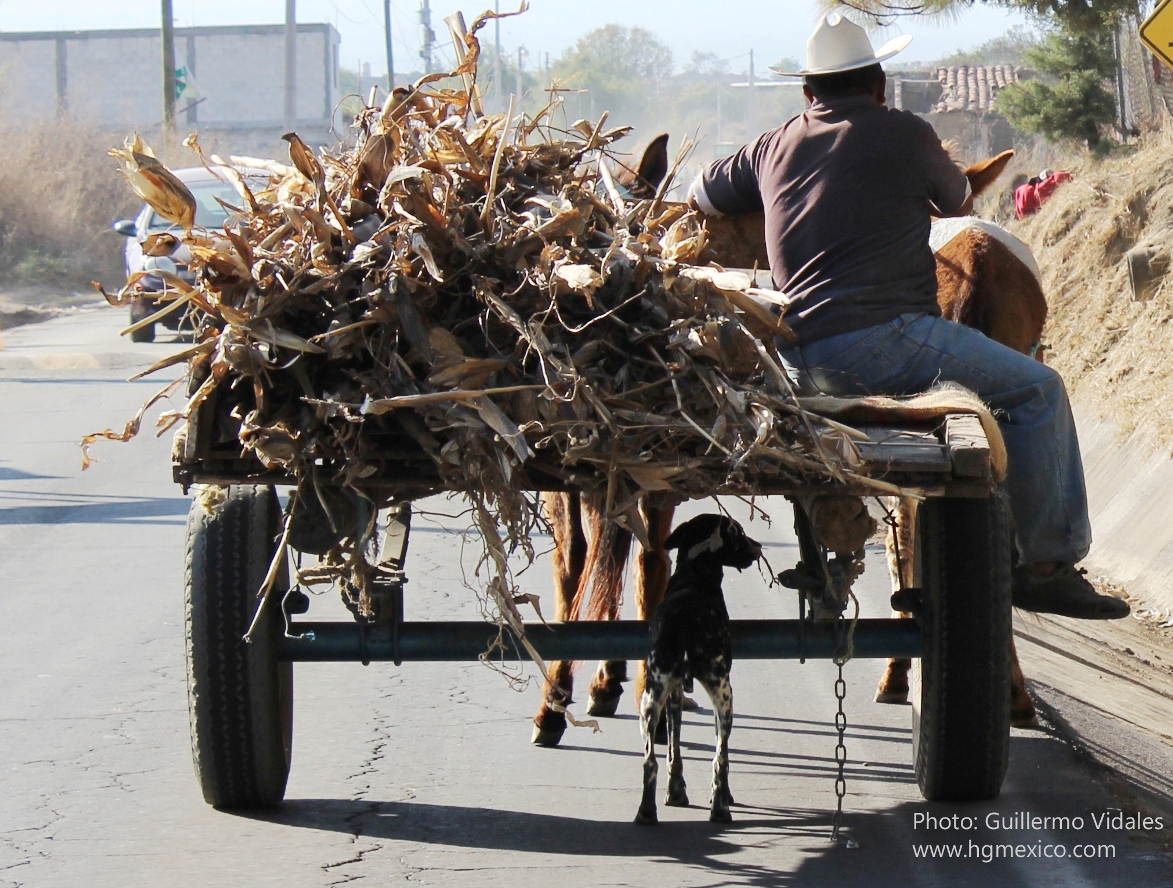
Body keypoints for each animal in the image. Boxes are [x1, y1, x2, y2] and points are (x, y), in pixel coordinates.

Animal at [638, 513, 764, 825]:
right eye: (738, 532)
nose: (758, 546)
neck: (695, 572)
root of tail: (685, 622)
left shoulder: (673, 695)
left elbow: (674, 748)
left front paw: (676, 793)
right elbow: (722, 754)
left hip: (651, 700)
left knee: (650, 761)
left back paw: (646, 812)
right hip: (724, 695)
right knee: (720, 758)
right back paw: (720, 809)